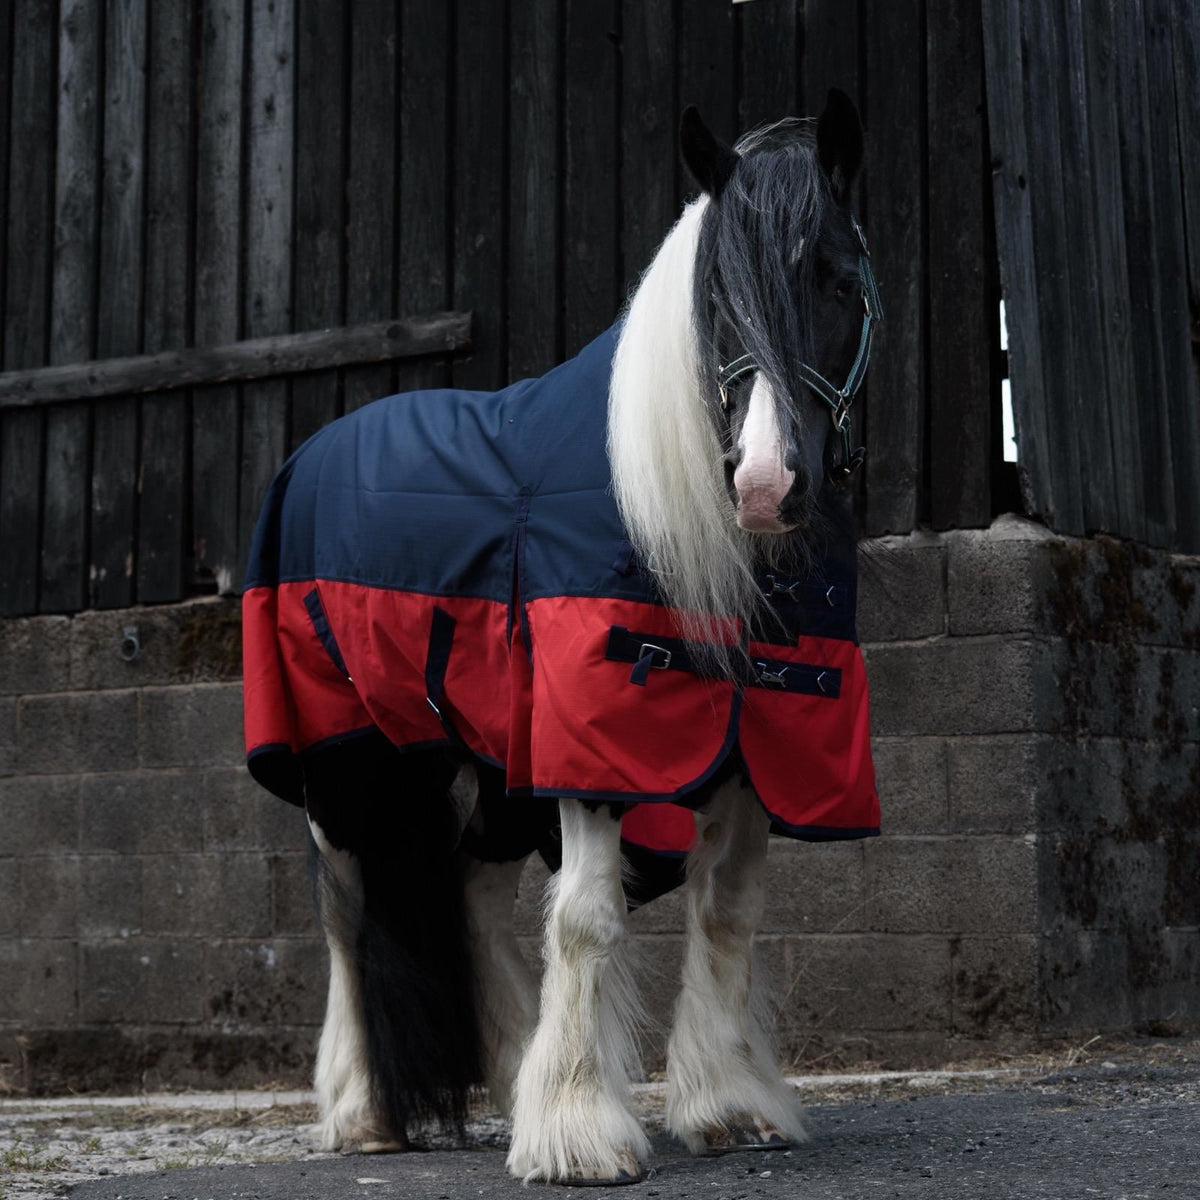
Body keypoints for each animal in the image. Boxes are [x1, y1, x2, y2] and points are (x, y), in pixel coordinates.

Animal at [241, 89, 882, 1185]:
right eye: (715, 304)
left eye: (838, 279)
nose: (763, 482)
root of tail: (317, 448)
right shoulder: (594, 740)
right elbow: (586, 915)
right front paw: (582, 1132)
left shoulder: (756, 744)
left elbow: (727, 911)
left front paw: (727, 1102)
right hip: (348, 764)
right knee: (346, 912)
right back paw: (364, 1110)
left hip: (486, 767)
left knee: (464, 896)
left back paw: (509, 1081)